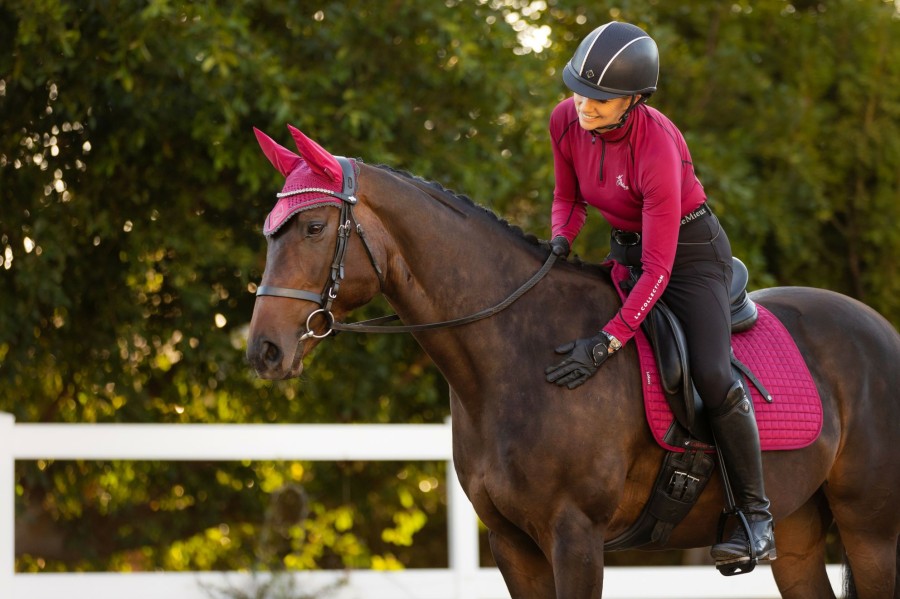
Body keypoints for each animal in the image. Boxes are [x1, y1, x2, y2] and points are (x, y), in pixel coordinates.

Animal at [246, 124, 900, 596]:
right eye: (268, 231)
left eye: (312, 226)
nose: (264, 351)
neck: (512, 355)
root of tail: (879, 329)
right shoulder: (513, 545)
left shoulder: (576, 537)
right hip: (799, 531)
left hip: (871, 533)